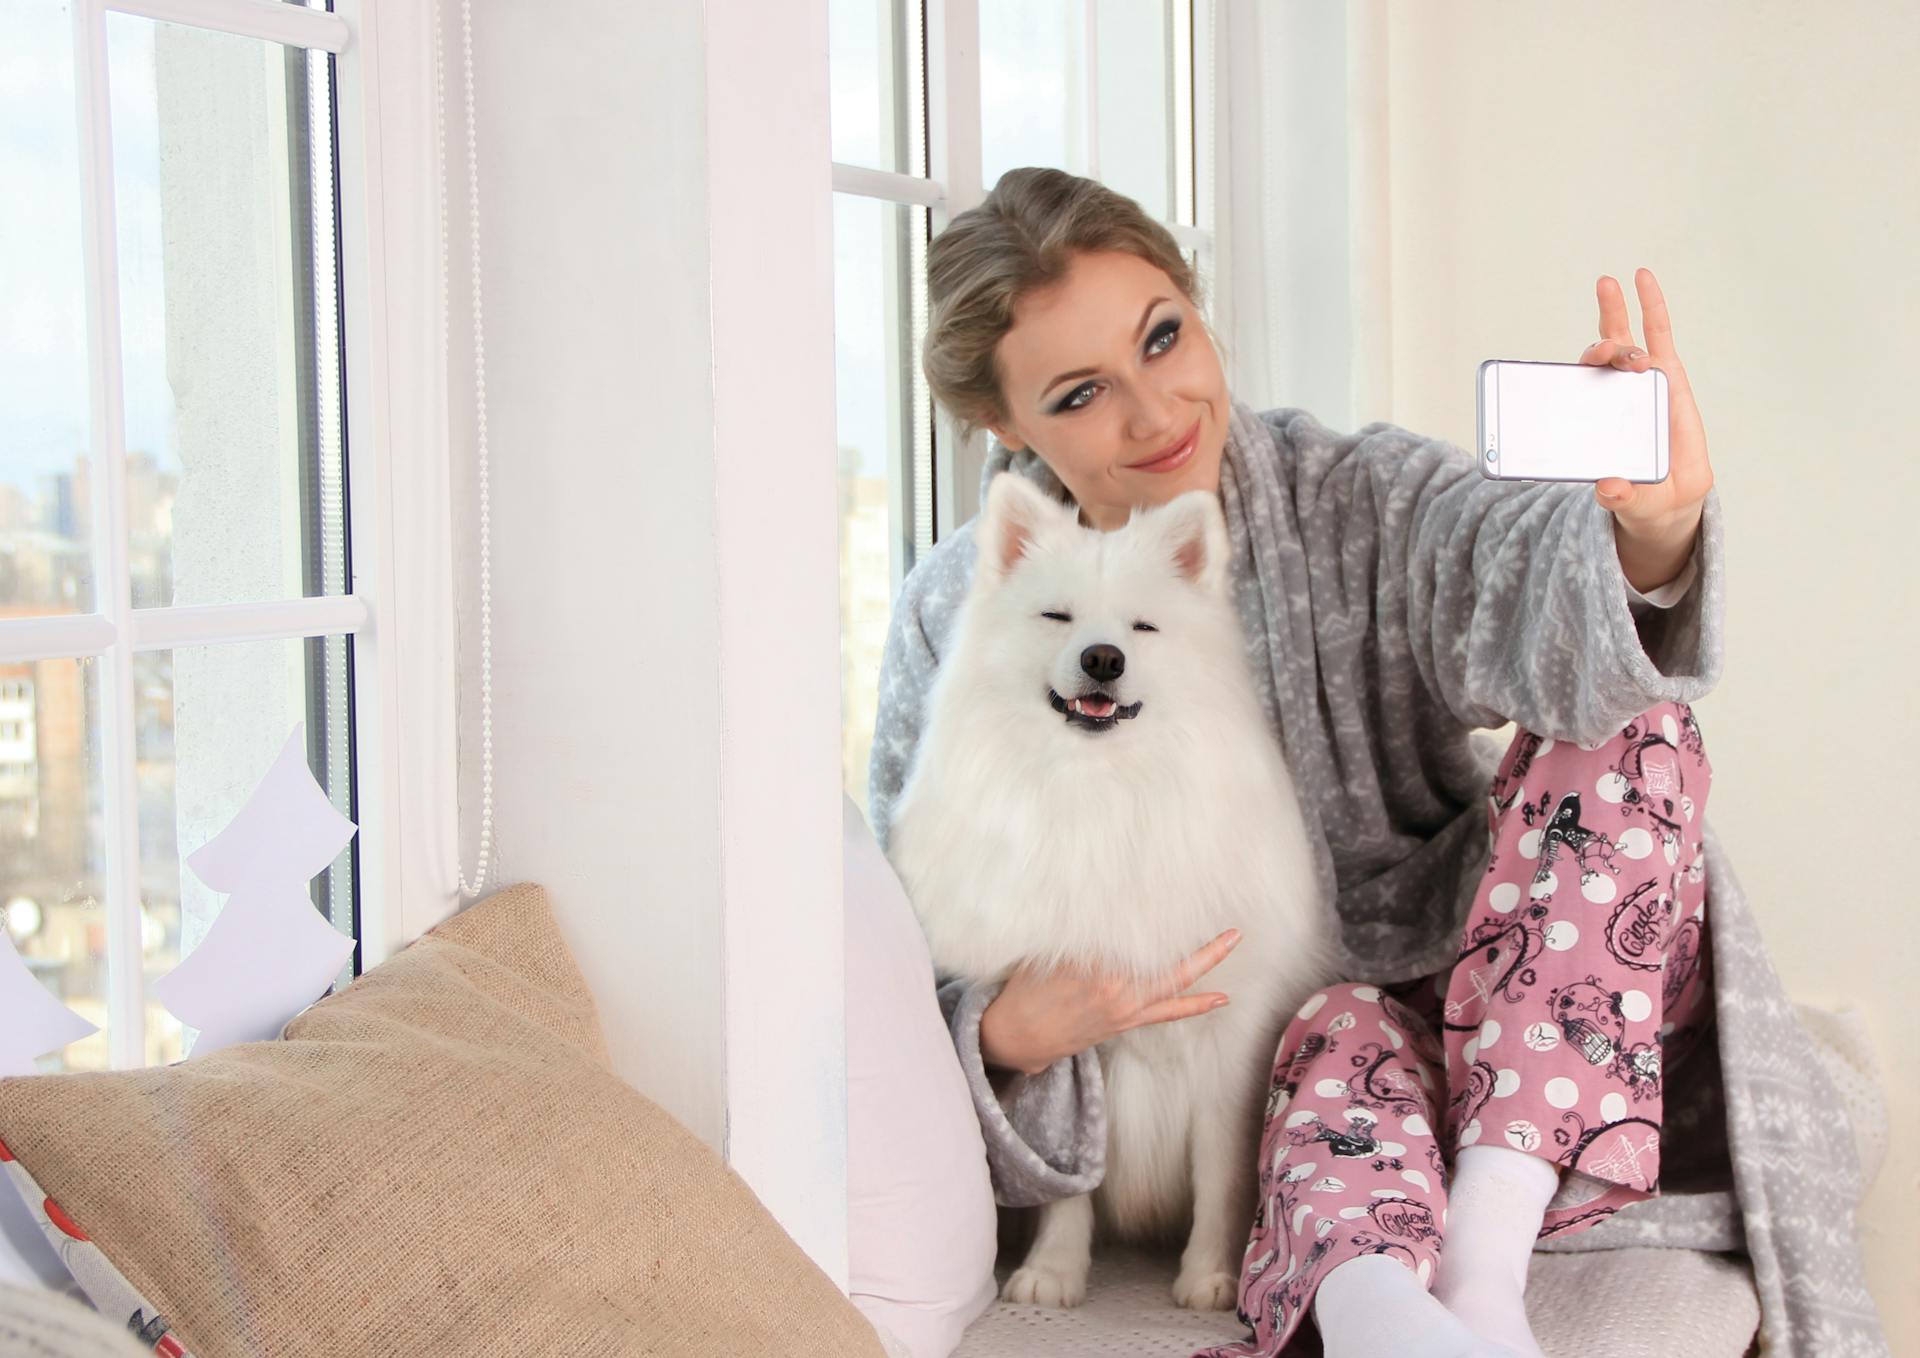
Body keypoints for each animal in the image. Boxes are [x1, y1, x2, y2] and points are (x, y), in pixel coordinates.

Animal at [887, 472, 1328, 1313]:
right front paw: (1055, 1271)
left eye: (1143, 627)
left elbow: (1221, 1172)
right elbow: (1069, 1174)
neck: (1100, 789)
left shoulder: (1229, 1043)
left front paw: (1211, 1274)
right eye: (1056, 616)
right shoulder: (1070, 1032)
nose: (1103, 657)